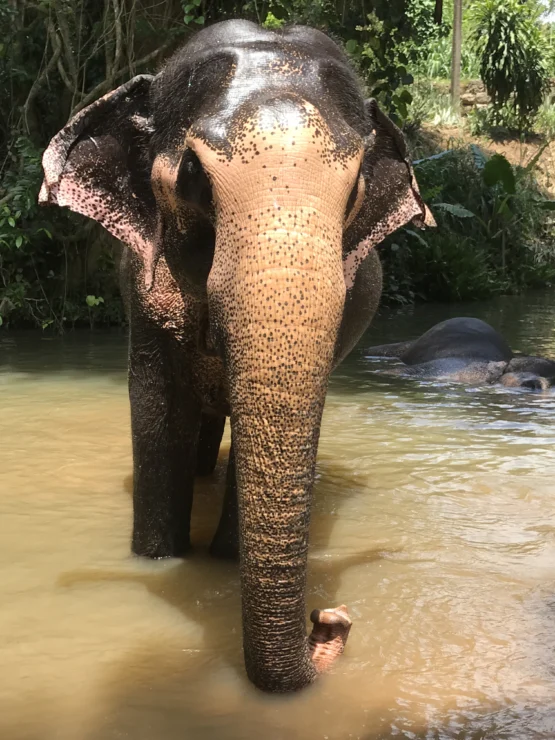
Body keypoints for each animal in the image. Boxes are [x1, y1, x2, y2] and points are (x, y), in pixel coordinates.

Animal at [39, 20, 434, 696]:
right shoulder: (140, 289)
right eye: (192, 176)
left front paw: (224, 559)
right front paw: (160, 559)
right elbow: (158, 408)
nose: (332, 617)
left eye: (356, 189)